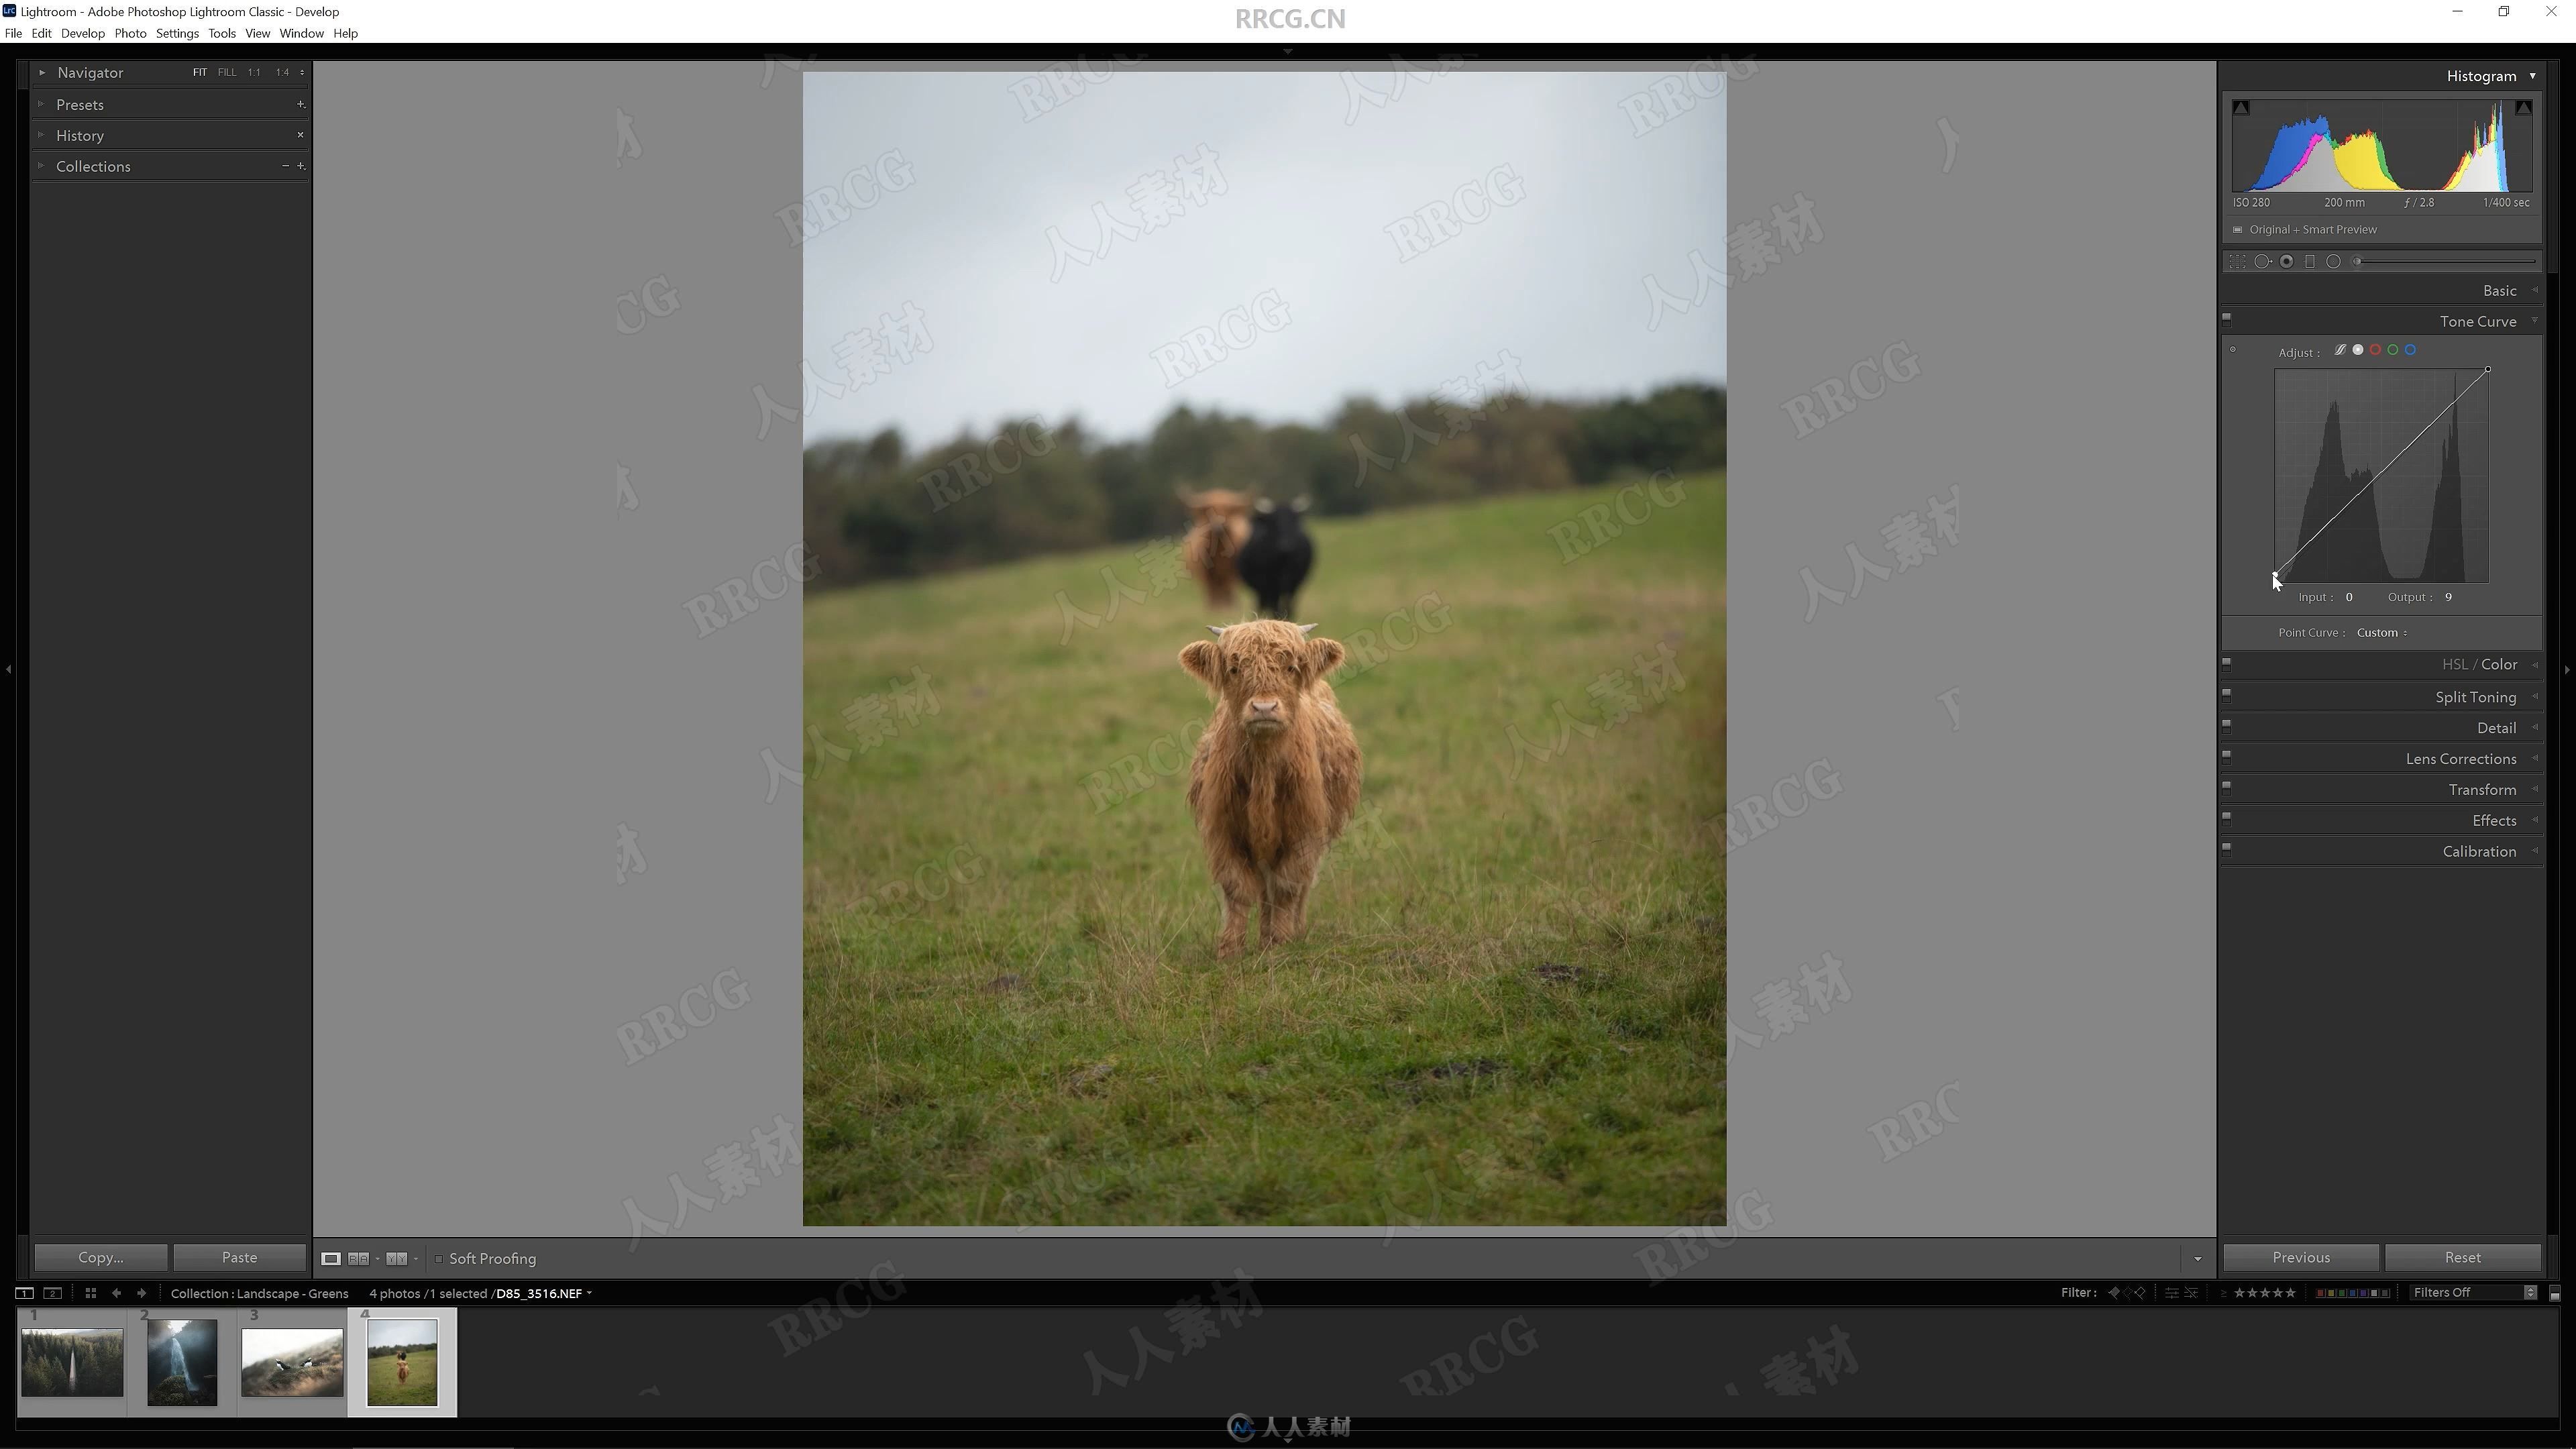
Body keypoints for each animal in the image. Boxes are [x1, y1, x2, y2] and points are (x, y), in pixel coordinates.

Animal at [1179, 613, 1360, 954]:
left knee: (1295, 887)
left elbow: (1287, 887)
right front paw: (1231, 948)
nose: (1264, 709)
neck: (1263, 770)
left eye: (1290, 667)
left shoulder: (1303, 830)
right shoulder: (1224, 830)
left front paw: (1282, 941)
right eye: (1235, 668)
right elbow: (1237, 888)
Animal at [1236, 494, 1319, 613]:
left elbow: (1288, 607)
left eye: (1293, 521)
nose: (1286, 546)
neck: (1282, 563)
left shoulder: (1292, 584)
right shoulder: (1269, 585)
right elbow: (1274, 606)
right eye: (1274, 522)